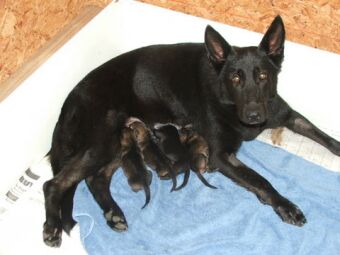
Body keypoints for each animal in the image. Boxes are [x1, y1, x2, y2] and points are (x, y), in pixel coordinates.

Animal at [41, 15, 340, 247]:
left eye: (263, 76)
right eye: (235, 78)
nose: (254, 116)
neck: (228, 100)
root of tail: (69, 101)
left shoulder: (288, 116)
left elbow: (323, 136)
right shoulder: (221, 156)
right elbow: (259, 180)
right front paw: (285, 205)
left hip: (117, 142)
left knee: (96, 179)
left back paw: (113, 213)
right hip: (104, 140)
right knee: (54, 183)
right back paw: (52, 226)